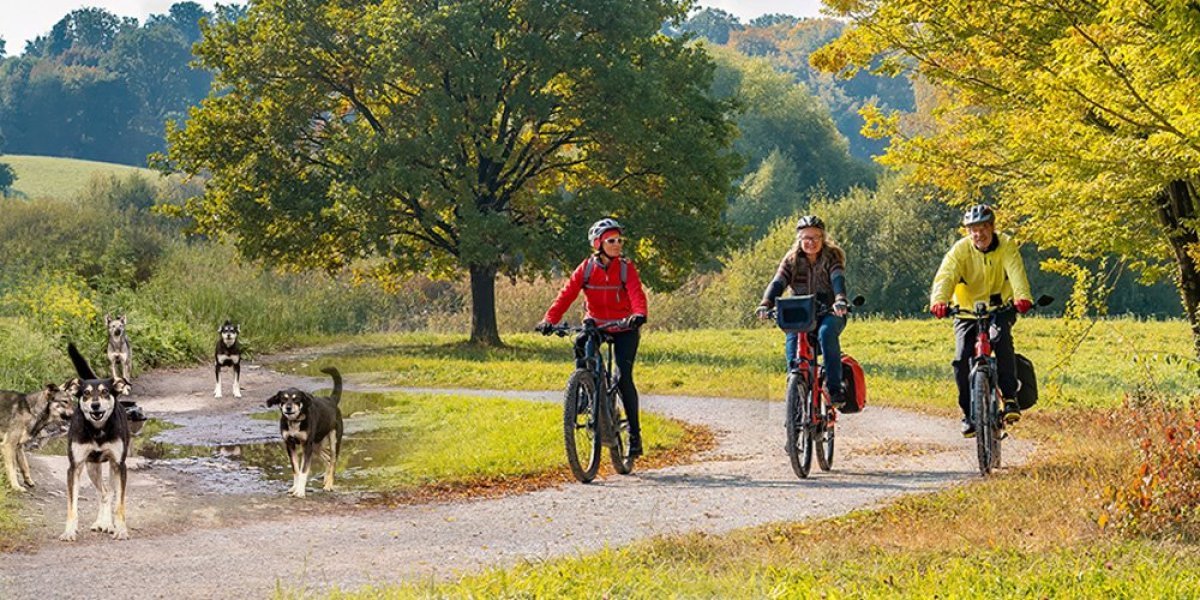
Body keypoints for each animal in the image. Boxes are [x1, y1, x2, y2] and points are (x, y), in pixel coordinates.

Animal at [268, 367, 348, 499]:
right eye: (283, 399)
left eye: (296, 399)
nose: (288, 408)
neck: (295, 421)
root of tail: (331, 400)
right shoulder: (290, 445)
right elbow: (296, 470)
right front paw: (295, 488)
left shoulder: (306, 446)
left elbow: (303, 471)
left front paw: (300, 491)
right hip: (316, 445)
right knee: (327, 459)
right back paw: (325, 479)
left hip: (333, 442)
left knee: (333, 461)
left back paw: (329, 485)